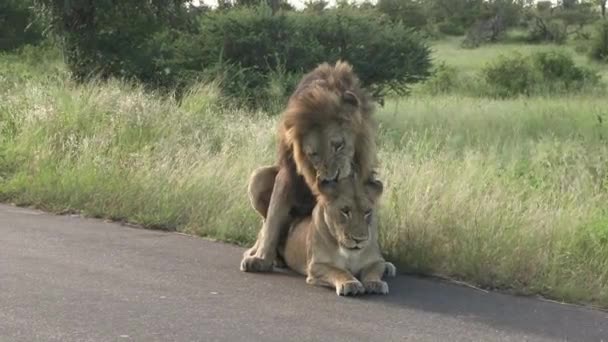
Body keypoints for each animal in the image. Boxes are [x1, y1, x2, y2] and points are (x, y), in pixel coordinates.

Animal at [241, 59, 376, 272]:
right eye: (313, 154)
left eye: (338, 145)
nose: (329, 180)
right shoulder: (289, 171)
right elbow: (272, 219)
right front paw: (260, 259)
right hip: (258, 177)